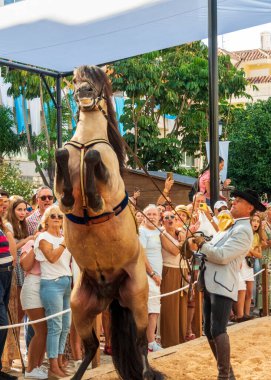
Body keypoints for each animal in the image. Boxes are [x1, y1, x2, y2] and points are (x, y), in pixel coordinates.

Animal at [53, 66, 164, 380]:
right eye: (75, 80)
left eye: (96, 80)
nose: (83, 93)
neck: (87, 139)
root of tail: (110, 293)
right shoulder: (57, 185)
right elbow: (61, 154)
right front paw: (72, 196)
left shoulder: (111, 183)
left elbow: (93, 158)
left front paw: (92, 198)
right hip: (80, 307)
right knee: (91, 347)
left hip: (137, 300)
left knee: (140, 343)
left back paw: (147, 374)